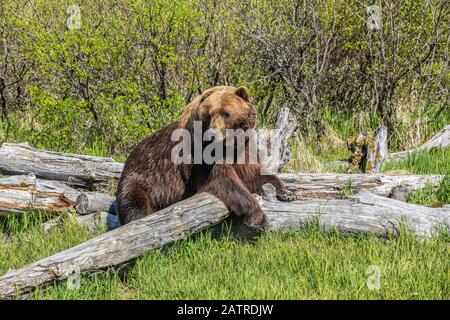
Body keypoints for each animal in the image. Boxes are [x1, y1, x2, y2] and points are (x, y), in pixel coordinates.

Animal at [117, 85, 296, 230]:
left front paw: (286, 192)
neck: (227, 145)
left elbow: (253, 173)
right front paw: (259, 218)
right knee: (134, 205)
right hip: (141, 178)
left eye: (226, 113)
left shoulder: (242, 151)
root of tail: (128, 160)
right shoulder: (200, 158)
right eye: (209, 114)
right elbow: (223, 181)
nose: (212, 134)